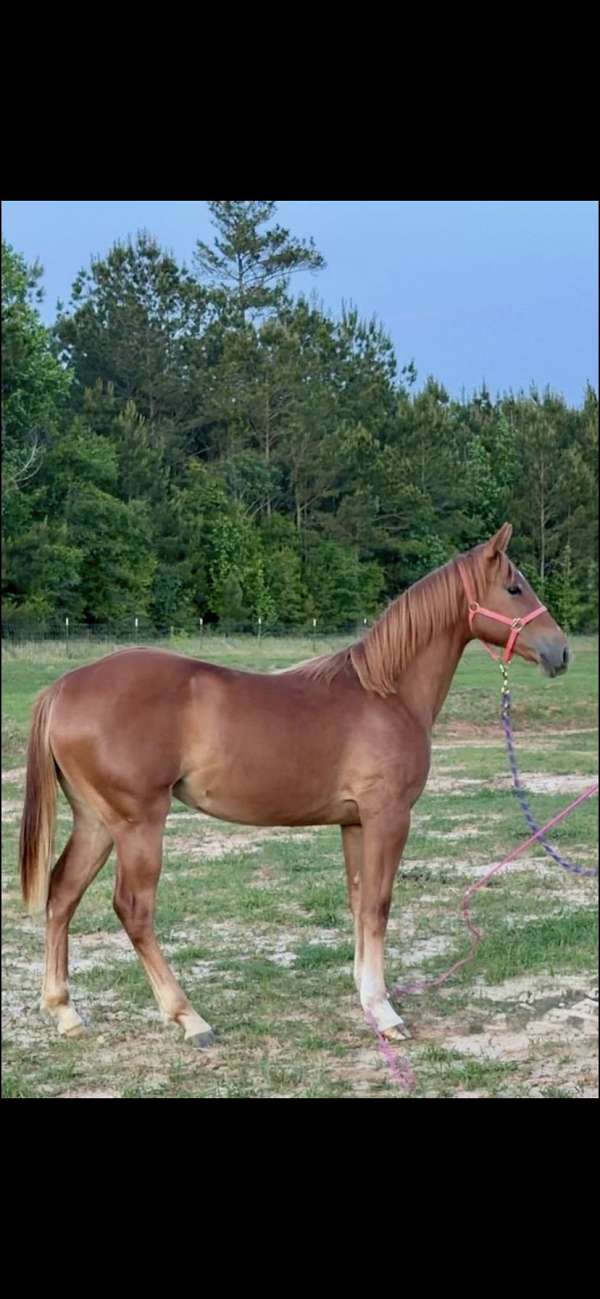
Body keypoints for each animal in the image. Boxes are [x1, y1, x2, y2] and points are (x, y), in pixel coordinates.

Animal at [19, 523, 569, 1047]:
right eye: (514, 587)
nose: (561, 651)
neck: (386, 693)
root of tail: (63, 688)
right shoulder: (388, 816)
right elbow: (378, 905)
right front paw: (385, 1012)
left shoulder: (354, 823)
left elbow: (358, 901)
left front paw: (366, 995)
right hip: (138, 823)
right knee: (133, 910)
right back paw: (189, 1018)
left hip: (97, 821)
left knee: (62, 894)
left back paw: (65, 1012)